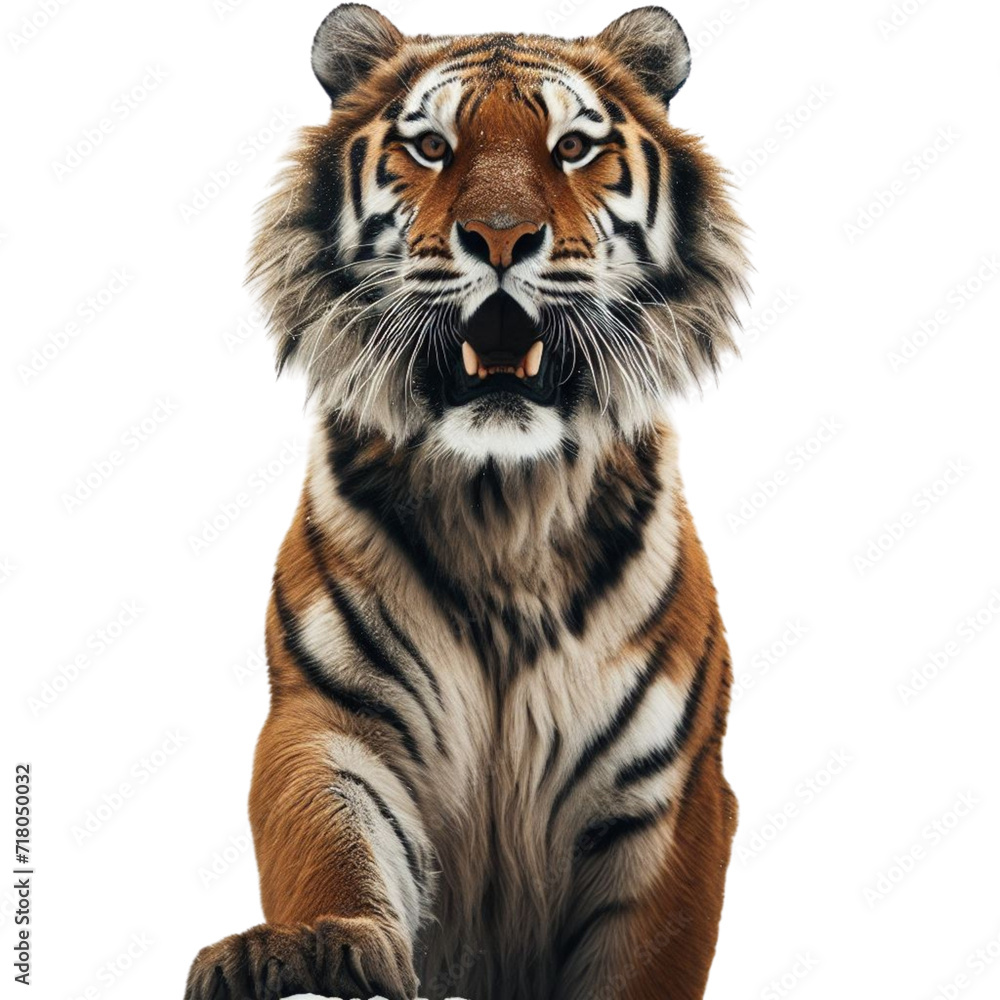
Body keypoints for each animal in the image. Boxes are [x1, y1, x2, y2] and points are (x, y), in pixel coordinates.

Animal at [185, 4, 749, 999]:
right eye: (432, 146)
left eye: (572, 147)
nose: (499, 239)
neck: (505, 509)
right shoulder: (327, 722)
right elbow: (329, 844)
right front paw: (311, 946)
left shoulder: (674, 787)